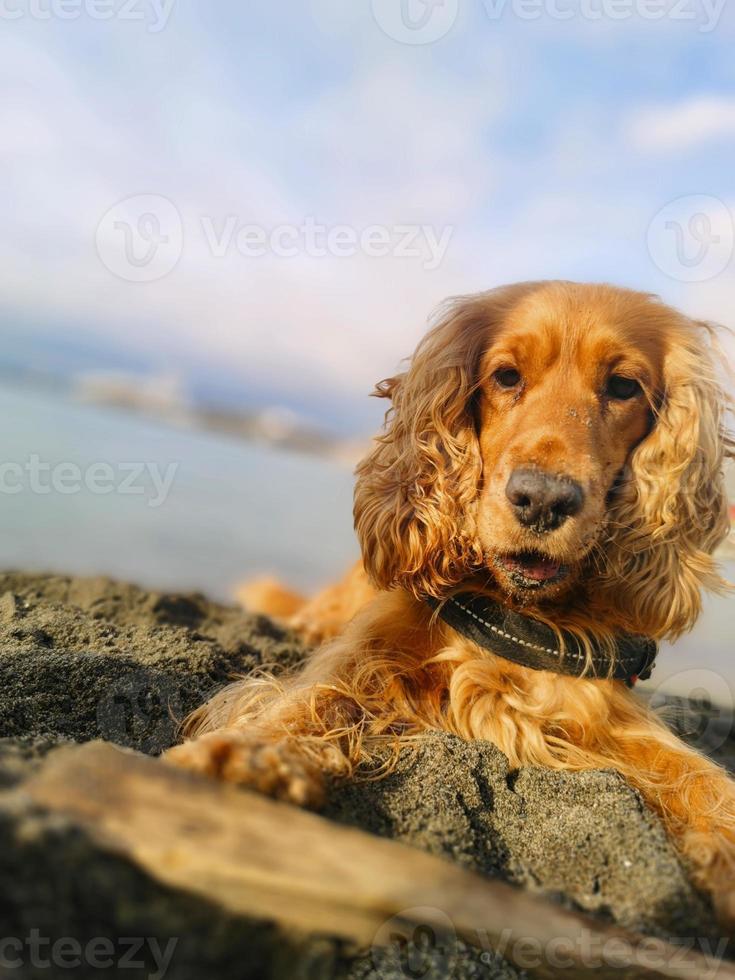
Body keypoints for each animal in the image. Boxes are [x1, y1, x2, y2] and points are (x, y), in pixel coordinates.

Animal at [167, 280, 735, 924]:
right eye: (507, 376)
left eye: (623, 387)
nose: (543, 499)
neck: (519, 607)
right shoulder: (368, 650)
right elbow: (309, 700)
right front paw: (248, 752)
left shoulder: (604, 709)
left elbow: (703, 777)